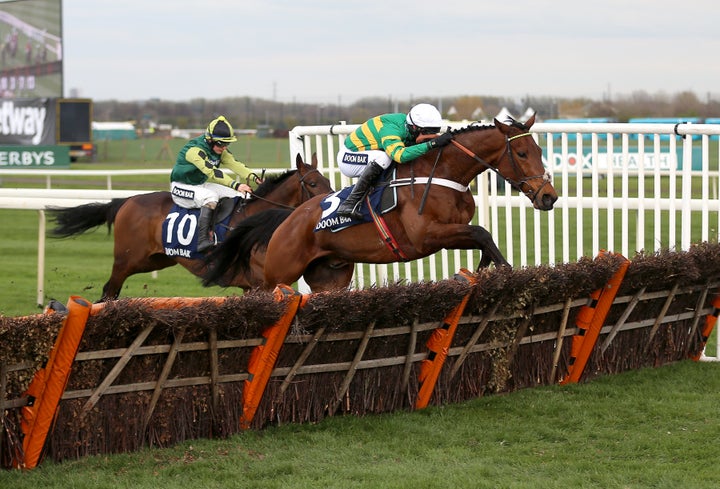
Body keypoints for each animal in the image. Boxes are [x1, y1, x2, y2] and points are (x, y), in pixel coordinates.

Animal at [50, 152, 332, 300]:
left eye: (328, 181)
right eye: (313, 184)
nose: (329, 202)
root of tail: (127, 201)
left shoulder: (252, 286)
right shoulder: (260, 282)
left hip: (155, 259)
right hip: (126, 260)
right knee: (109, 291)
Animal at [202, 116, 556, 292]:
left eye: (540, 150)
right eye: (521, 153)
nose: (548, 196)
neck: (441, 172)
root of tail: (288, 218)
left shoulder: (451, 230)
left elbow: (482, 238)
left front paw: (476, 273)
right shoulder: (426, 235)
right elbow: (482, 233)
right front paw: (505, 273)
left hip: (330, 277)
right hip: (279, 272)